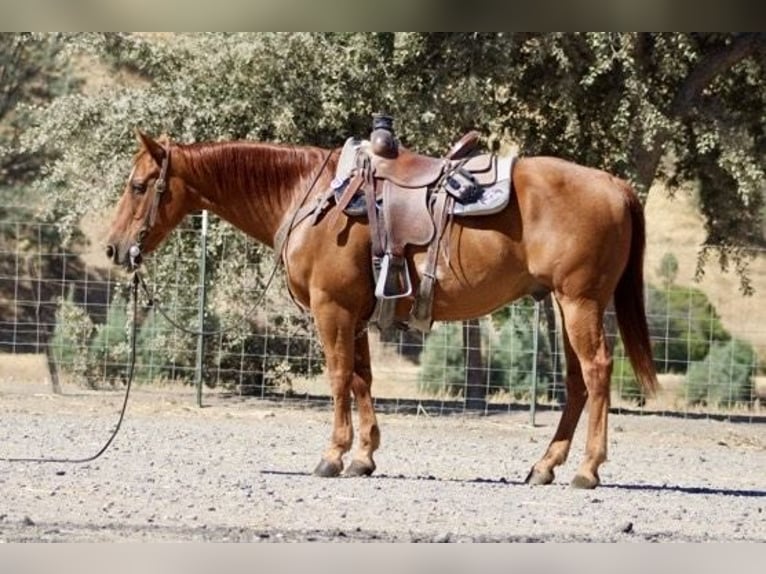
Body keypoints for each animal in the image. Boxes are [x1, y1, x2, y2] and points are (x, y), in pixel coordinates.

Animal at [105, 129, 660, 490]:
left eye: (138, 186)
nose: (114, 248)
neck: (312, 197)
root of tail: (615, 186)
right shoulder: (355, 315)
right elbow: (361, 379)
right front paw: (364, 456)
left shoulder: (331, 309)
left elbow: (337, 378)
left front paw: (333, 456)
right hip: (568, 306)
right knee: (577, 382)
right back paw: (545, 466)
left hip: (580, 302)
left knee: (598, 371)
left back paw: (587, 470)